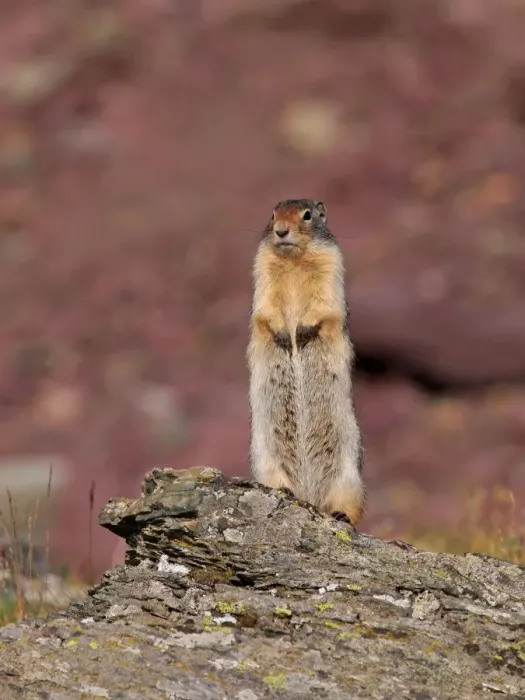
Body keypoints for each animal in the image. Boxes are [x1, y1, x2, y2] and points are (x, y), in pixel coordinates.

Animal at [247, 198, 365, 527]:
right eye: (272, 214)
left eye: (308, 215)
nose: (280, 230)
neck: (293, 261)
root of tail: (309, 497)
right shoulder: (262, 271)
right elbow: (264, 309)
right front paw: (284, 335)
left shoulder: (332, 266)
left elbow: (325, 305)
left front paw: (301, 332)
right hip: (265, 460)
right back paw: (285, 492)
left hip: (349, 476)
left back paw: (340, 515)